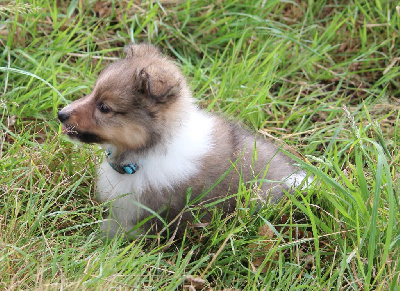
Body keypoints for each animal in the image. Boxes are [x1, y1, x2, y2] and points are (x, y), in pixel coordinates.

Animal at [58, 44, 310, 240]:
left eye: (104, 107)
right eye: (92, 92)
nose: (61, 114)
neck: (146, 155)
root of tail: (299, 177)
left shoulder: (148, 216)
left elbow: (118, 229)